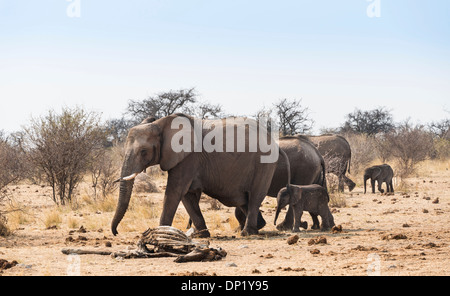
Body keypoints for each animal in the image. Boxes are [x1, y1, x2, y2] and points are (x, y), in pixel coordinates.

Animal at [110, 113, 290, 236]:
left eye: (143, 151)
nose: (116, 232)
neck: (160, 124)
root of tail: (274, 141)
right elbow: (187, 195)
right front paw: (201, 235)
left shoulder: (188, 157)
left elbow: (175, 191)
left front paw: (161, 233)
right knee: (244, 200)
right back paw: (258, 226)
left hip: (264, 163)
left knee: (254, 197)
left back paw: (248, 233)